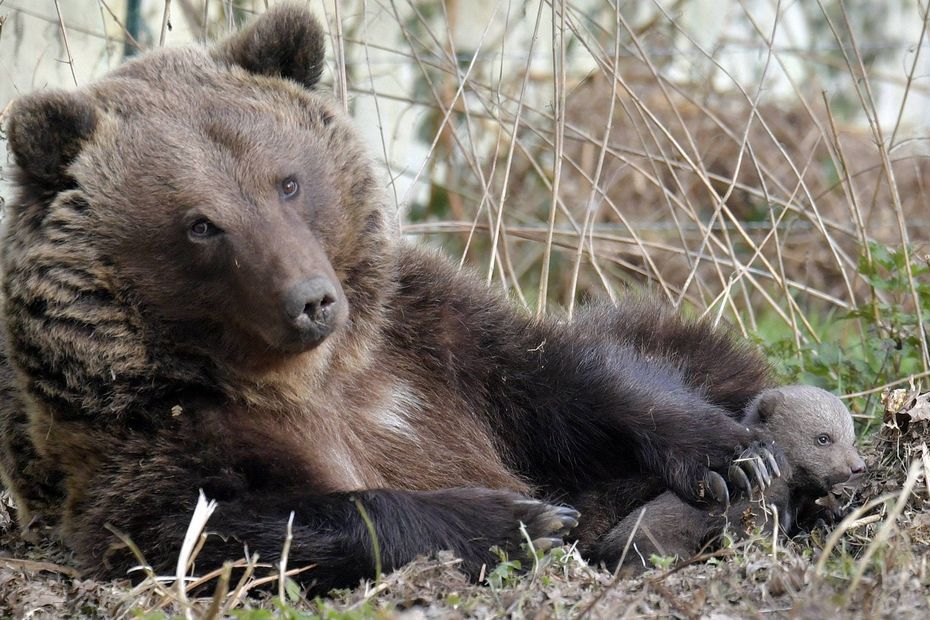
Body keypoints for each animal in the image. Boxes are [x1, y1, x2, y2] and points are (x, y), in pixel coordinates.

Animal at [0, 3, 776, 592]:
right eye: (201, 224)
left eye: (288, 181)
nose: (312, 300)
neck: (309, 375)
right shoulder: (148, 432)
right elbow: (226, 524)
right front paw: (521, 521)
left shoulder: (424, 334)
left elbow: (564, 375)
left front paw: (731, 457)